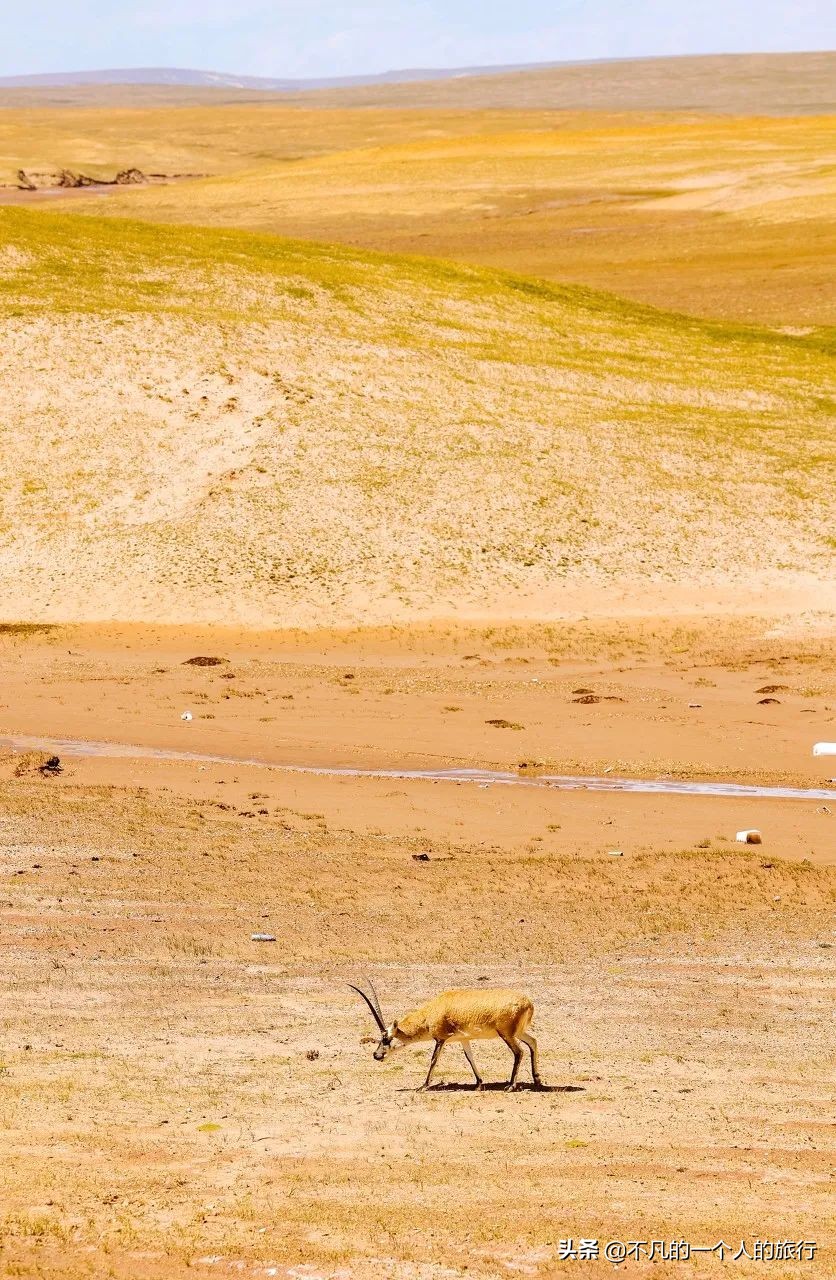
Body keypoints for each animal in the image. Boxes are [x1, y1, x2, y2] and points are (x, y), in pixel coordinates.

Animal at [345, 977, 540, 1090]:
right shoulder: (463, 1039)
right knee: (533, 1042)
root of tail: (528, 1003)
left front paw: (423, 1086)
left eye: (386, 1038)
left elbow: (433, 1060)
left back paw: (511, 1086)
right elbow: (470, 1058)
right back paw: (537, 1080)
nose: (376, 1055)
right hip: (518, 1033)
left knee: (519, 1052)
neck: (432, 1010)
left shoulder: (440, 1039)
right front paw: (478, 1084)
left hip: (506, 1034)